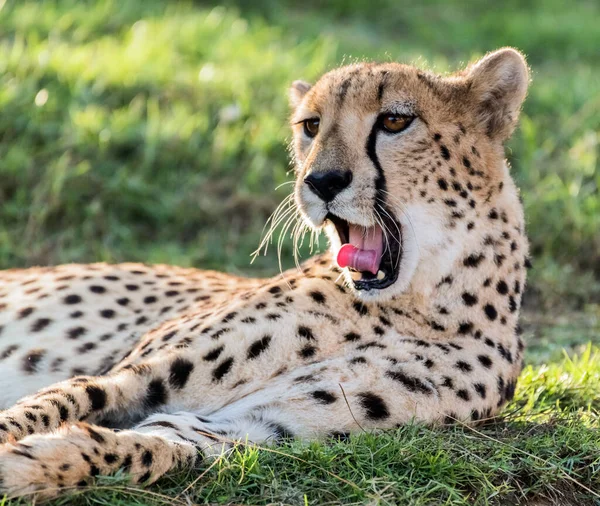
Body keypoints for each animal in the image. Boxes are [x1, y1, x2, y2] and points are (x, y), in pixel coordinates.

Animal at [0, 48, 528, 498]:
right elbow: (48, 405)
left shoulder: (255, 427)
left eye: (395, 120)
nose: (321, 182)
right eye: (311, 125)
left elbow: (146, 448)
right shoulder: (136, 375)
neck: (410, 306)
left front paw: (30, 465)